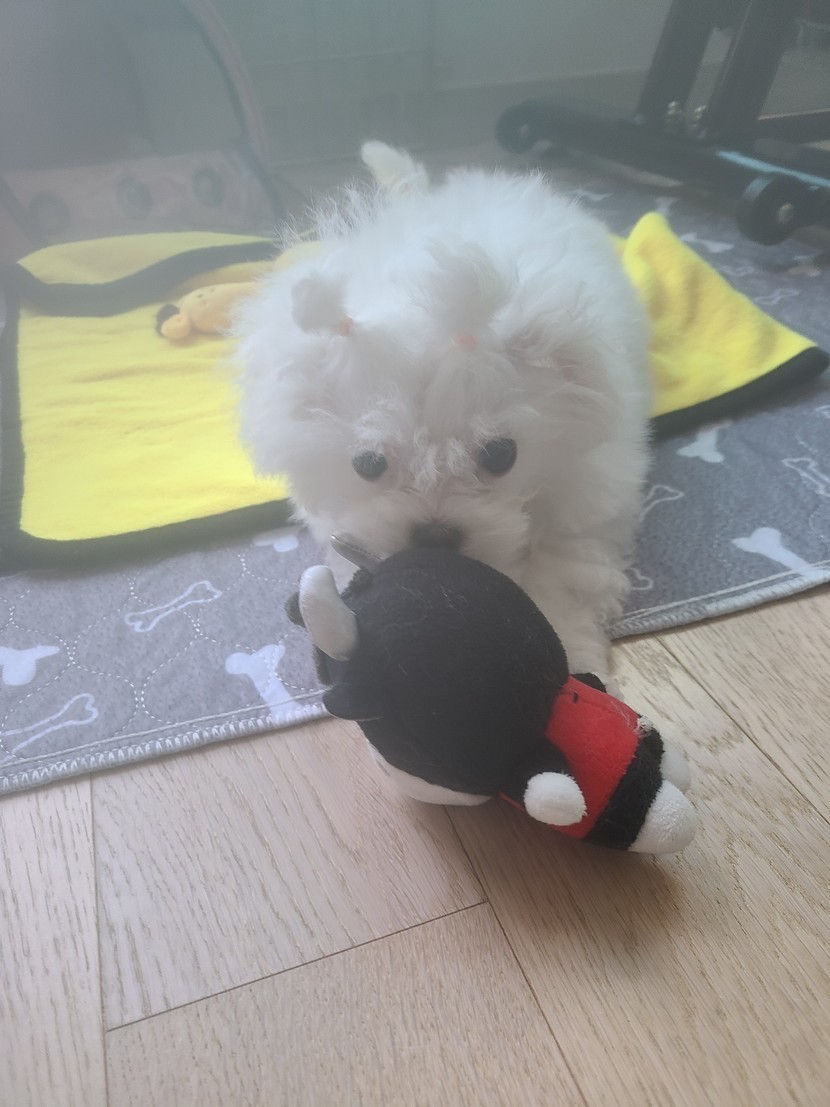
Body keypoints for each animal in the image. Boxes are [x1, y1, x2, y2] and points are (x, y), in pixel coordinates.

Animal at [233, 142, 652, 677]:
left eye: (500, 455)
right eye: (368, 464)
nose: (434, 534)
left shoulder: (584, 497)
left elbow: (560, 577)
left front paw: (572, 660)